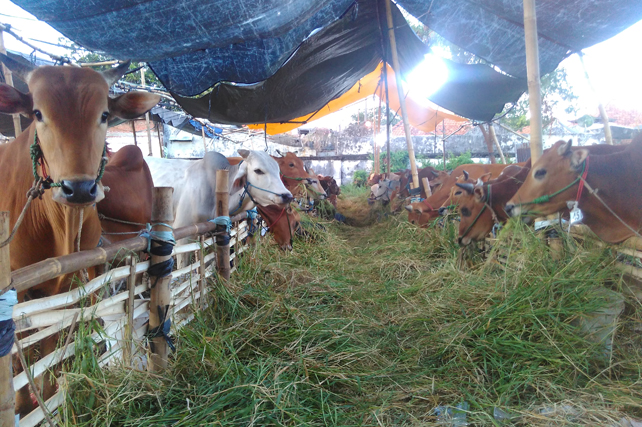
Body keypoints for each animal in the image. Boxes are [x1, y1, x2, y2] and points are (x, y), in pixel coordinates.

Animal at [0, 54, 159, 416]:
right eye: (37, 113)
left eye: (104, 115)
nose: (80, 189)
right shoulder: (19, 291)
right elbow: (20, 353)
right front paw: (24, 405)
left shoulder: (66, 286)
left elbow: (47, 349)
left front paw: (46, 396)